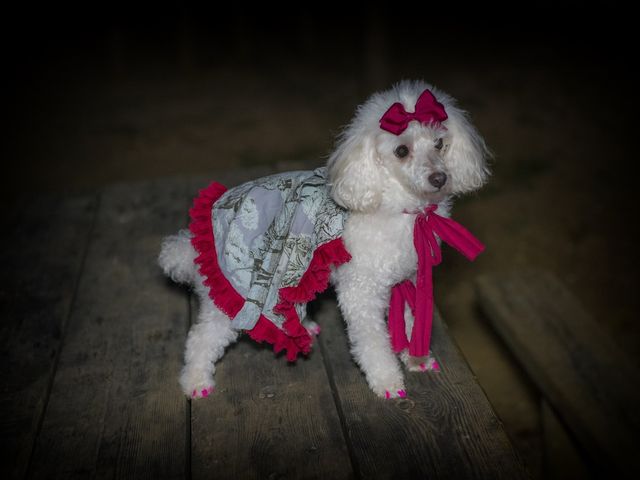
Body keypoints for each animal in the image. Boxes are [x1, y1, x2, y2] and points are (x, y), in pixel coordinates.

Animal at [158, 80, 488, 400]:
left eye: (439, 144)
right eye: (402, 151)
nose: (440, 178)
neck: (395, 206)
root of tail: (189, 246)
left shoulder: (406, 279)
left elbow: (408, 321)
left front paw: (415, 358)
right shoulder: (361, 292)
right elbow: (373, 342)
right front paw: (387, 380)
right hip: (232, 294)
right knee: (201, 338)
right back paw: (195, 381)